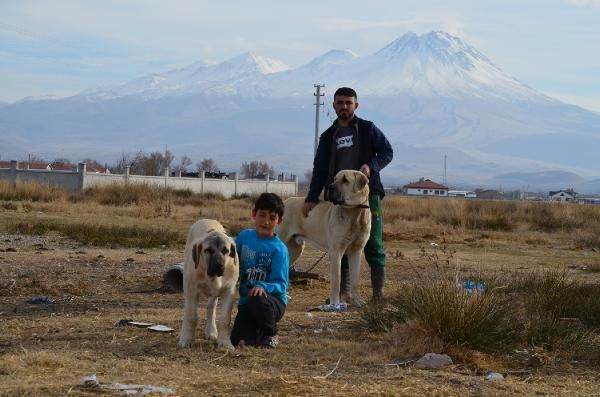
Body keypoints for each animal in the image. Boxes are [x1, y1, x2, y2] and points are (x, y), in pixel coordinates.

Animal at [177, 220, 238, 350]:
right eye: (208, 250)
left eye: (225, 250)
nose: (219, 265)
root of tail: (206, 219)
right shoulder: (192, 290)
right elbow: (191, 316)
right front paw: (187, 340)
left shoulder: (229, 291)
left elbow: (225, 319)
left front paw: (225, 343)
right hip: (187, 285)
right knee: (187, 311)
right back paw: (182, 334)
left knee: (211, 308)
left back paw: (211, 331)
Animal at [276, 169, 370, 304]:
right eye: (335, 179)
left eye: (345, 180)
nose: (330, 187)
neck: (355, 212)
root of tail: (284, 202)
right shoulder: (336, 252)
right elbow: (336, 281)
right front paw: (335, 303)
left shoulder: (356, 252)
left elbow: (355, 281)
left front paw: (358, 300)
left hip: (294, 249)